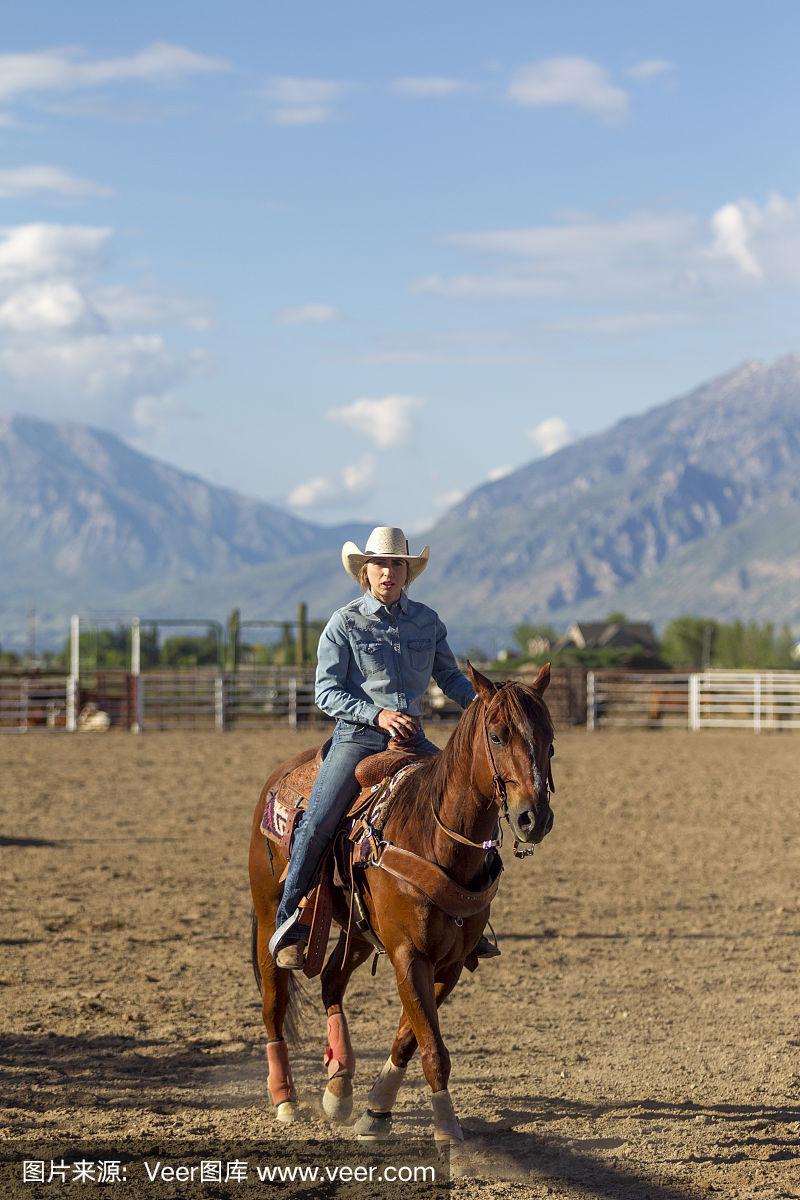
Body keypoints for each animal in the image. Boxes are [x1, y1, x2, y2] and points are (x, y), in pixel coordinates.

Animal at [245, 667, 556, 1142]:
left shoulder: (449, 963)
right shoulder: (408, 955)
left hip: (357, 931)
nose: (533, 818)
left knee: (331, 982)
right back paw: (285, 1097)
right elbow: (433, 1049)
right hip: (267, 915)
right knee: (274, 1002)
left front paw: (375, 1111)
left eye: (549, 736)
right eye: (498, 736)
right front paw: (448, 1132)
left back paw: (339, 1086)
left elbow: (410, 1039)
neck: (435, 837)